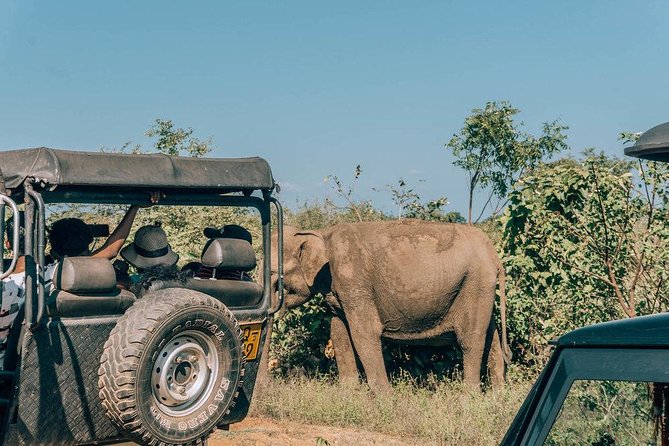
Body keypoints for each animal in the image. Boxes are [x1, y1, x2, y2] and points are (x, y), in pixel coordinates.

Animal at [268, 220, 508, 394]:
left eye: (275, 279)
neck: (320, 233)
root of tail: (495, 257)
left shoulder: (354, 281)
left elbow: (364, 333)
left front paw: (383, 399)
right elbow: (339, 333)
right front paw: (348, 394)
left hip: (475, 284)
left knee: (471, 341)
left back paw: (470, 398)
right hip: (480, 290)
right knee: (492, 337)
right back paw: (497, 396)